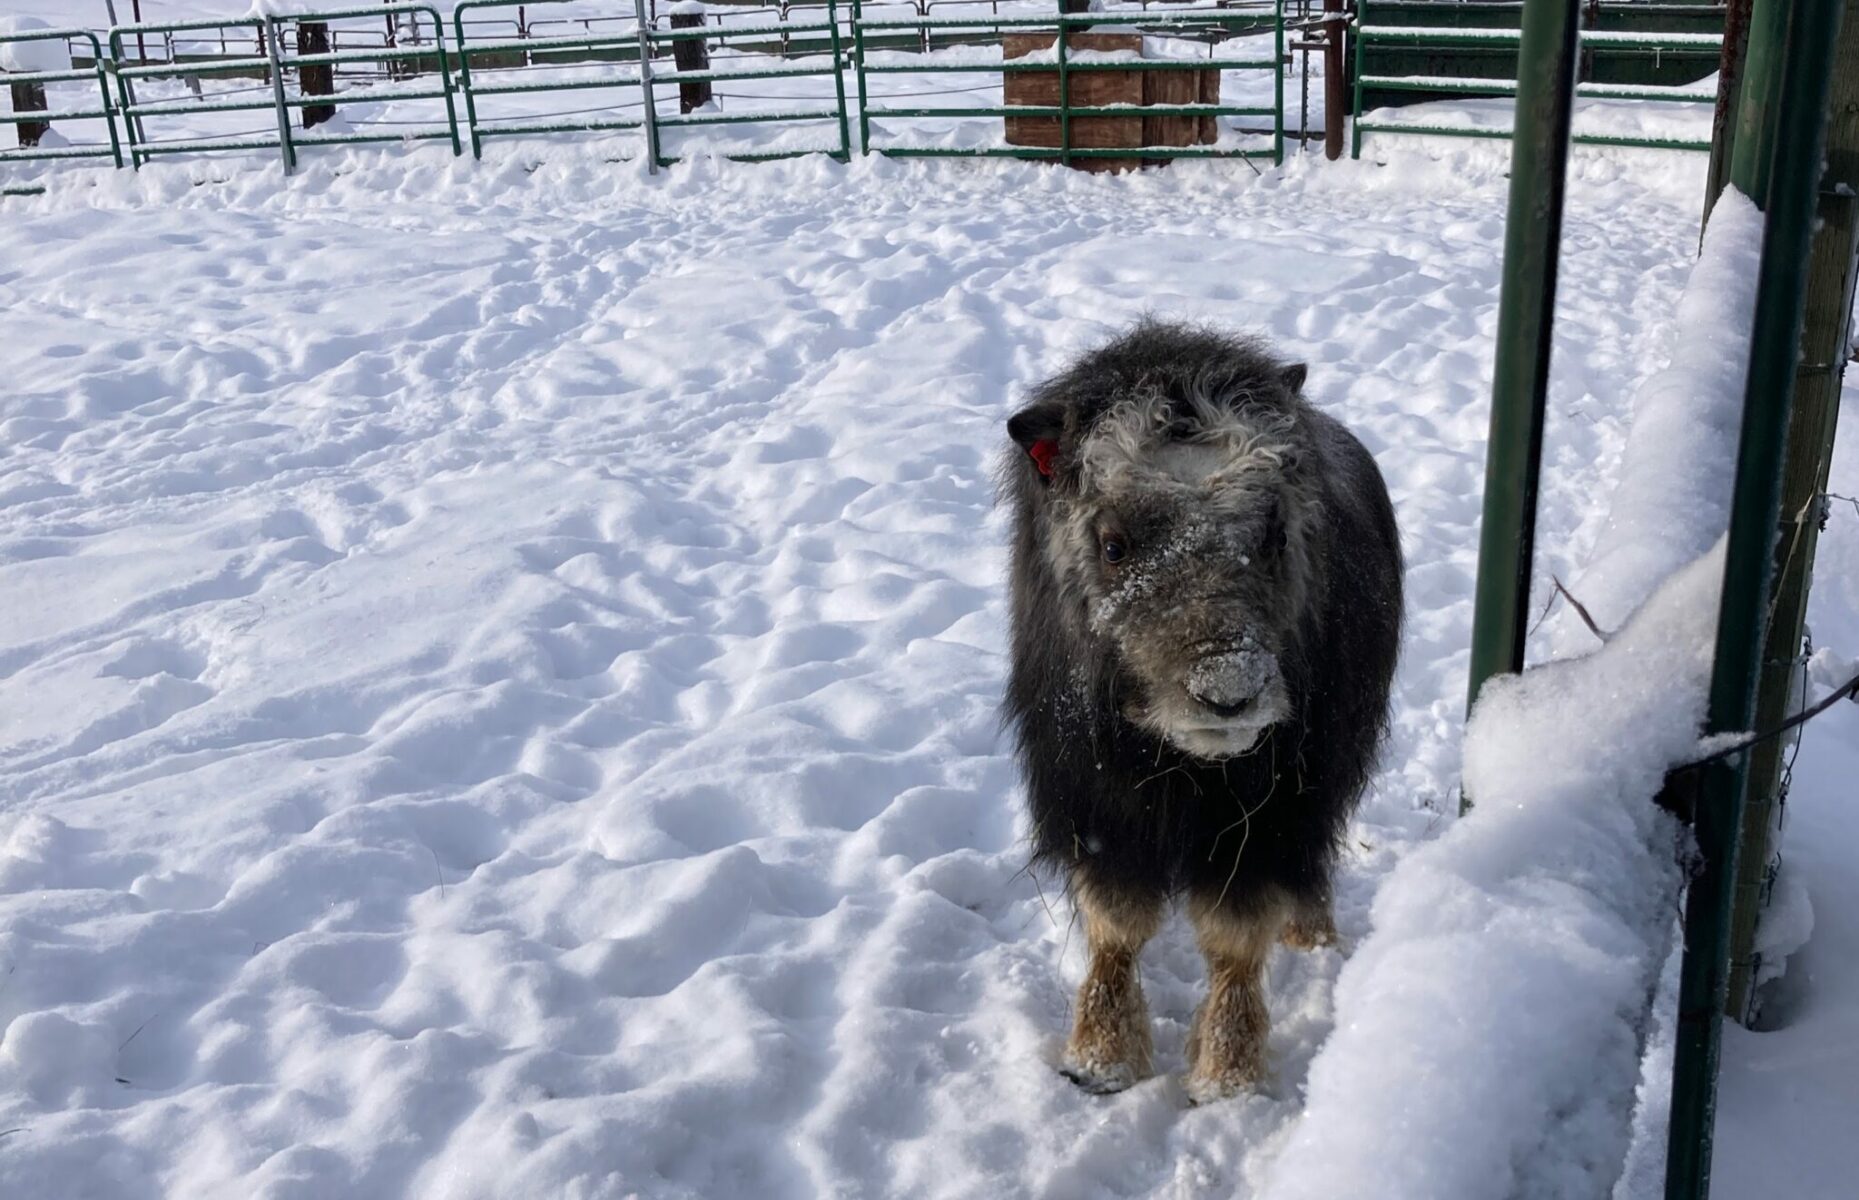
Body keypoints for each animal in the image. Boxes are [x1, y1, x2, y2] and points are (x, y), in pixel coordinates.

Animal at [1003, 321, 1397, 1107]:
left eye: (1274, 534)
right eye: (1113, 544)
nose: (1229, 694)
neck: (1181, 764)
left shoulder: (1265, 822)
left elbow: (1234, 939)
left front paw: (1225, 1079)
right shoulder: (1099, 807)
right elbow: (1117, 927)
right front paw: (1099, 1061)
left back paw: (1310, 940)